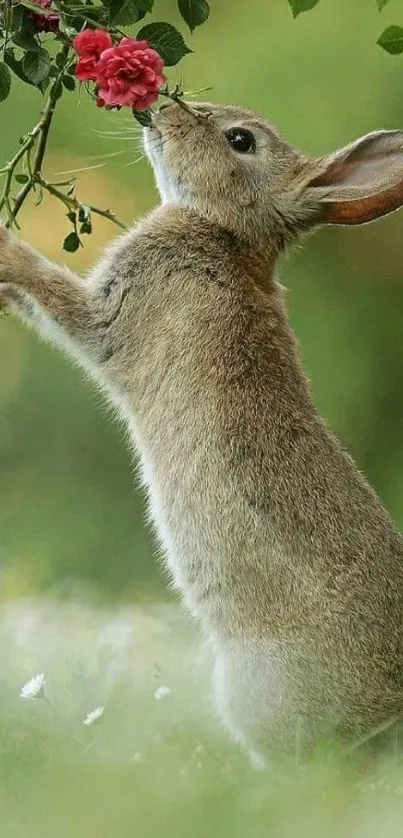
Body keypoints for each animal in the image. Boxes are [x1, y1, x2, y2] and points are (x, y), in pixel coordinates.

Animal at [0, 101, 403, 764]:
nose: (158, 108)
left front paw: (5, 249)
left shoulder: (111, 311)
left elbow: (56, 297)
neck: (226, 231)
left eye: (241, 140)